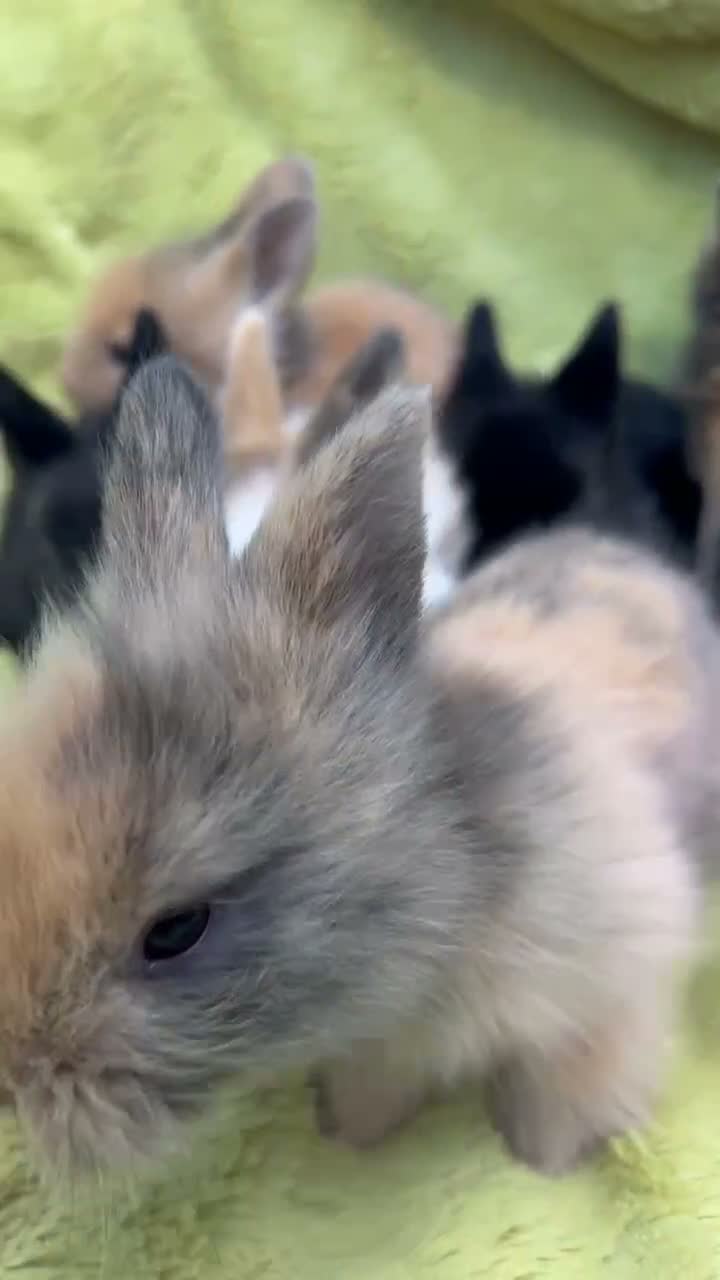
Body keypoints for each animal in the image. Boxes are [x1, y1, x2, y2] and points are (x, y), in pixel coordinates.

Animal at [0, 354, 711, 1182]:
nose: (13, 1083)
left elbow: (567, 1096)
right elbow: (374, 1094)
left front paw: (540, 1166)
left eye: (176, 929)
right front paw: (350, 1141)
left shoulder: (608, 992)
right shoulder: (378, 1049)